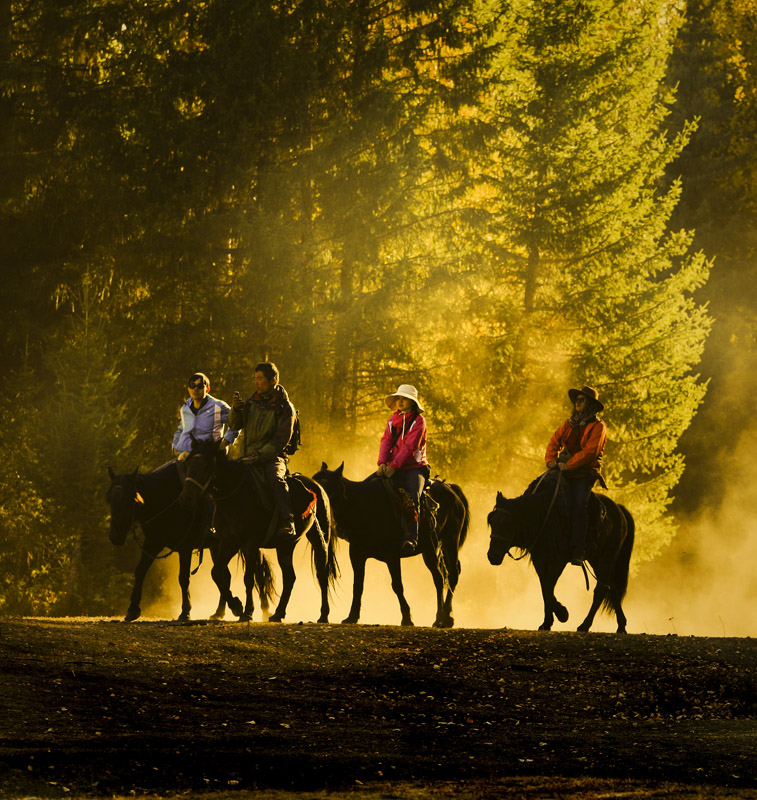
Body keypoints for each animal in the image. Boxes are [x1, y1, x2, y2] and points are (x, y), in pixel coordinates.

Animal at [105, 466, 274, 620]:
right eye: (109, 499)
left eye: (130, 499)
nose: (115, 536)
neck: (165, 499)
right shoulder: (152, 543)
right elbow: (140, 570)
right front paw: (133, 609)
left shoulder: (184, 548)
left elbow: (183, 578)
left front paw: (185, 611)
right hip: (218, 548)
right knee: (225, 575)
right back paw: (220, 612)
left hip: (246, 545)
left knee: (257, 574)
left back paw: (263, 610)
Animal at [179, 438, 338, 624]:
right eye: (188, 464)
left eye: (206, 466)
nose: (186, 498)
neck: (236, 494)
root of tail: (317, 487)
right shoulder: (228, 543)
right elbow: (217, 573)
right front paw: (236, 606)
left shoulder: (250, 544)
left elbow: (248, 578)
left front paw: (247, 611)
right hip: (286, 545)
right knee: (289, 577)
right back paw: (278, 613)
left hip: (319, 538)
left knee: (322, 573)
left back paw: (323, 615)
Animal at [310, 466, 470, 628]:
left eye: (327, 484)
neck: (365, 506)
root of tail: (451, 489)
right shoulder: (357, 555)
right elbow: (358, 585)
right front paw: (352, 616)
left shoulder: (392, 556)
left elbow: (397, 585)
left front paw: (407, 618)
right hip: (430, 549)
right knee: (438, 578)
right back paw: (439, 618)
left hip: (450, 540)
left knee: (453, 574)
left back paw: (447, 617)